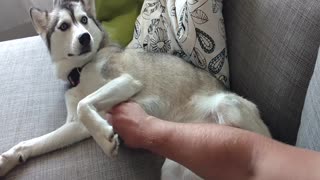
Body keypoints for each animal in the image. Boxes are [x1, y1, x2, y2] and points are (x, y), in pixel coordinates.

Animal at [0, 0, 272, 178]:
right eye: (64, 26)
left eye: (84, 20)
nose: (85, 37)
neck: (81, 67)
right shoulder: (75, 126)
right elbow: (34, 142)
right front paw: (9, 159)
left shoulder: (126, 81)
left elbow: (85, 104)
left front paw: (106, 140)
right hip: (175, 167)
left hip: (228, 107)